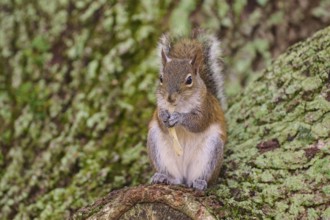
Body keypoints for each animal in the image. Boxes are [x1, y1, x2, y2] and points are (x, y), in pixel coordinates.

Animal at [147, 31, 227, 191]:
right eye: (161, 78)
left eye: (189, 80)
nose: (170, 98)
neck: (179, 105)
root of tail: (184, 175)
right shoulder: (160, 105)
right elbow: (161, 122)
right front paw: (163, 116)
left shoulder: (206, 108)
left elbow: (198, 123)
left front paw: (179, 118)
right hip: (158, 147)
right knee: (175, 178)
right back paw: (164, 177)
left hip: (211, 152)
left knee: (201, 177)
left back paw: (199, 182)